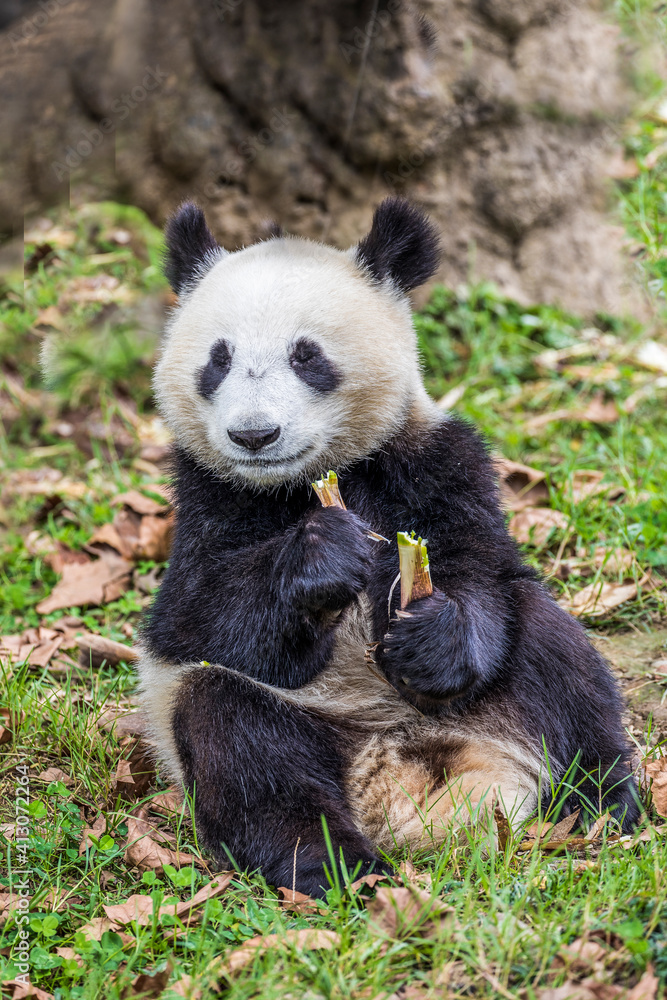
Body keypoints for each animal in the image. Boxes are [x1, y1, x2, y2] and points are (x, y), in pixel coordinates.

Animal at [138, 198, 639, 896]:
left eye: (306, 355)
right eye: (218, 359)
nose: (254, 435)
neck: (306, 481)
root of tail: (398, 779)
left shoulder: (437, 460)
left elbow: (477, 568)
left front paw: (429, 636)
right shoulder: (206, 494)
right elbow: (192, 616)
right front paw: (322, 557)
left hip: (491, 701)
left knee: (553, 650)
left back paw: (601, 805)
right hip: (283, 722)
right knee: (240, 743)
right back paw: (334, 866)